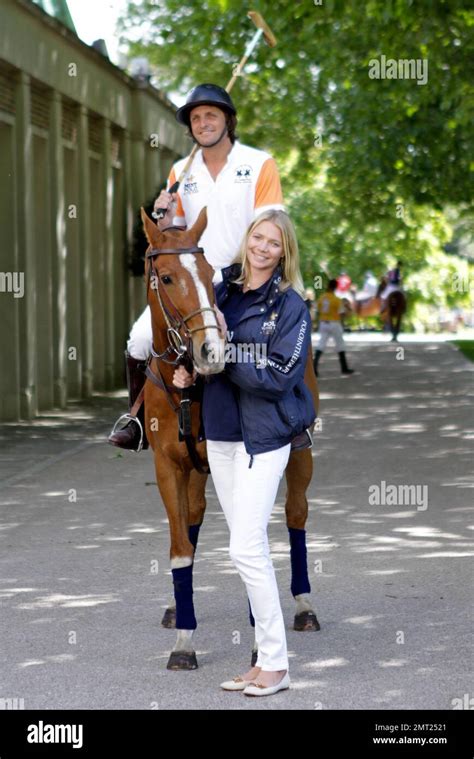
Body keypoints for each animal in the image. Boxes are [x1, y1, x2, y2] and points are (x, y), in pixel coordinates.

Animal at [139, 209, 320, 672]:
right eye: (166, 277)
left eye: (208, 274)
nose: (212, 352)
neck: (188, 388)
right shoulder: (168, 466)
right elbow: (181, 545)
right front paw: (184, 641)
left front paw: (260, 639)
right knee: (195, 516)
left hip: (300, 455)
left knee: (296, 515)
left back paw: (303, 605)